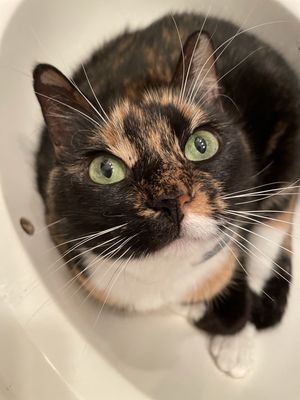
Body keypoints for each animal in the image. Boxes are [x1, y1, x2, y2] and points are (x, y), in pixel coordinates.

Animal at [33, 13, 300, 378]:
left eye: (201, 145)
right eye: (106, 169)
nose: (172, 200)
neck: (163, 279)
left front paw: (227, 332)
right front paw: (198, 311)